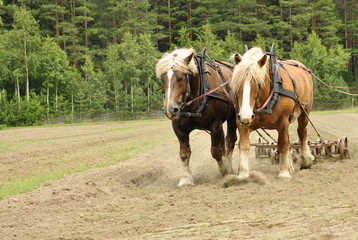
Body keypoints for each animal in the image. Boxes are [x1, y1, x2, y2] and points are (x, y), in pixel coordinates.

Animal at [155, 47, 236, 187]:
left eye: (180, 78)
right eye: (162, 79)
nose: (169, 110)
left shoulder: (215, 124)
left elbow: (215, 151)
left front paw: (224, 171)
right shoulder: (179, 129)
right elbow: (184, 154)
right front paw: (185, 179)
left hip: (233, 118)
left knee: (230, 140)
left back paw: (229, 167)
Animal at [232, 46, 314, 180]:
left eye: (258, 83)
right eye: (238, 83)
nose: (246, 116)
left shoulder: (282, 122)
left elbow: (283, 145)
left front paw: (284, 172)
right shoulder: (241, 122)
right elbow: (243, 145)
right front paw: (243, 174)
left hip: (304, 112)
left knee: (302, 132)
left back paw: (305, 160)